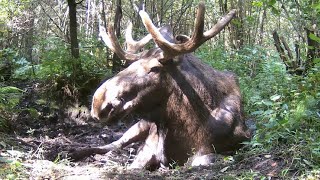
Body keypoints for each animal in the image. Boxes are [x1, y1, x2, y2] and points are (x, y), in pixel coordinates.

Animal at [70, 2, 252, 169]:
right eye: (129, 65)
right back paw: (75, 152)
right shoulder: (148, 148)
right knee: (112, 144)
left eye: (155, 68)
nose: (99, 102)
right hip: (139, 126)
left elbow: (202, 159)